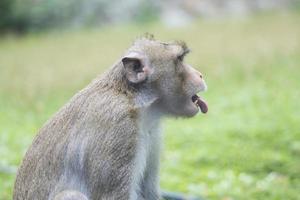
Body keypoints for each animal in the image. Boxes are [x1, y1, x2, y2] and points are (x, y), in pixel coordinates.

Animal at [12, 36, 207, 200]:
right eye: (180, 59)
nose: (200, 74)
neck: (134, 100)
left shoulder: (153, 132)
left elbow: (147, 190)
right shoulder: (119, 129)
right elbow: (112, 196)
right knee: (71, 195)